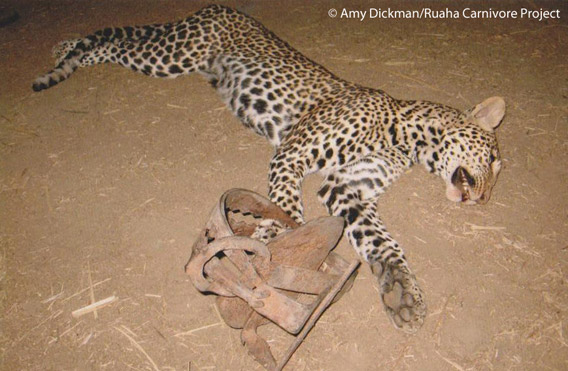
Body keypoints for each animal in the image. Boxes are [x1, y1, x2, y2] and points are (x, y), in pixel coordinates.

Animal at [32, 3, 506, 334]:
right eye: (494, 162)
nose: (484, 201)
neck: (405, 138)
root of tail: (220, 7)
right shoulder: (293, 156)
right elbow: (286, 210)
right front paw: (264, 256)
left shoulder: (346, 187)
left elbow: (381, 240)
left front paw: (401, 292)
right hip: (174, 54)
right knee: (109, 45)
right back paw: (60, 57)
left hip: (179, 56)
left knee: (117, 43)